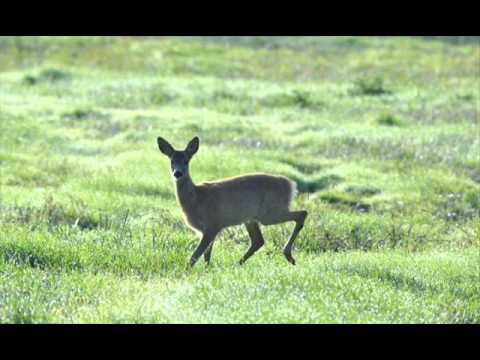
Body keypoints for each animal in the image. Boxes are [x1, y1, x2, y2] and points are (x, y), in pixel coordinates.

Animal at [158, 136, 308, 268]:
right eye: (172, 161)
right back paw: (239, 263)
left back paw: (288, 255)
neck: (195, 199)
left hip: (270, 213)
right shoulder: (206, 229)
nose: (178, 173)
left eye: (186, 161)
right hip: (251, 218)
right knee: (258, 240)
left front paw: (186, 272)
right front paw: (206, 271)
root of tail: (291, 185)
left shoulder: (213, 225)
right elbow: (206, 257)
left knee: (302, 213)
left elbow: (194, 257)